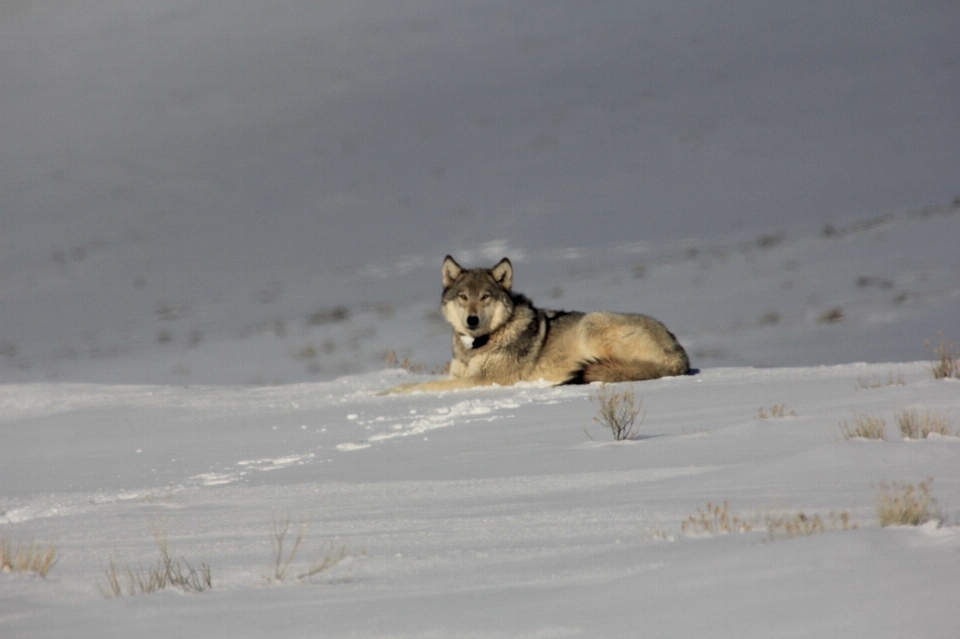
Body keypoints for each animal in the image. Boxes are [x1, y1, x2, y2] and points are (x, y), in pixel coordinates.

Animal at [386, 256, 688, 396]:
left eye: (485, 297)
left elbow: (420, 386)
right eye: (463, 297)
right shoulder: (459, 375)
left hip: (592, 323)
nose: (472, 320)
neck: (481, 342)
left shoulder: (483, 380)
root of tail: (680, 356)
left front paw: (385, 393)